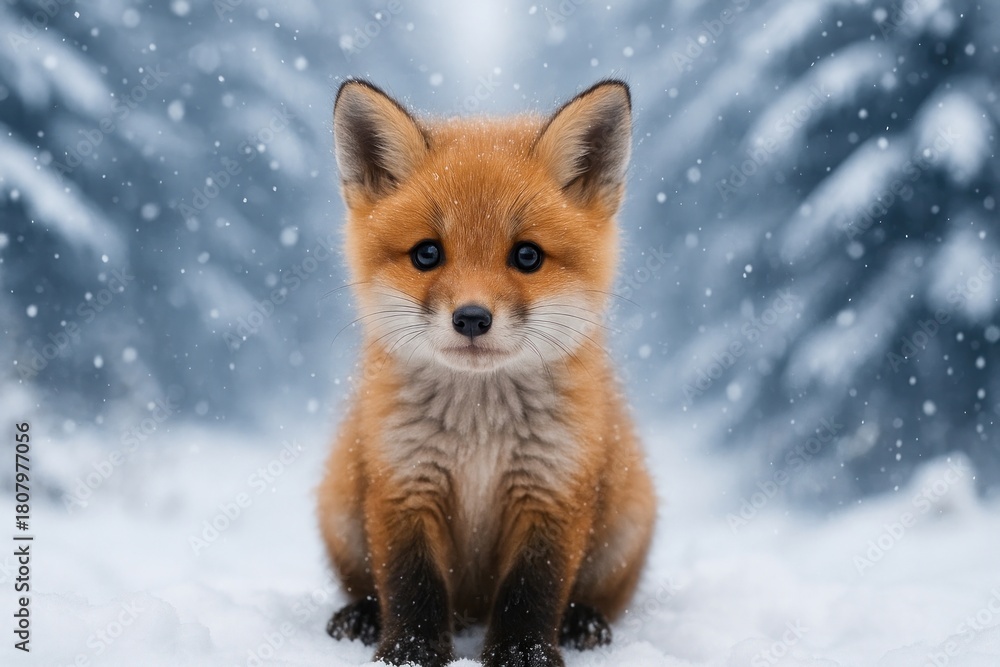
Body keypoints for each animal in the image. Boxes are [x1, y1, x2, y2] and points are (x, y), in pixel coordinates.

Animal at [317, 78, 657, 667]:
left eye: (527, 256)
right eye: (427, 253)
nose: (472, 318)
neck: (480, 433)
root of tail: (471, 610)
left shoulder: (552, 488)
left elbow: (532, 590)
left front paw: (523, 654)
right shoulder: (404, 482)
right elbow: (411, 586)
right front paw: (409, 654)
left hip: (627, 521)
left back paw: (583, 621)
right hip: (339, 505)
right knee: (371, 584)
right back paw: (362, 613)